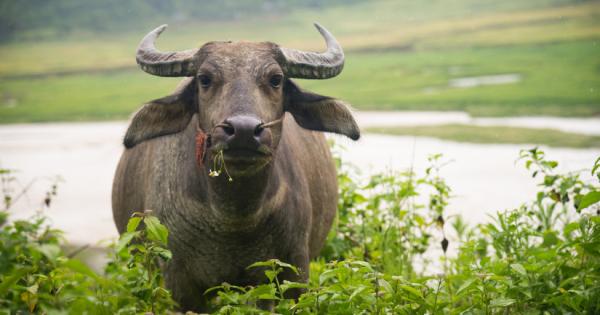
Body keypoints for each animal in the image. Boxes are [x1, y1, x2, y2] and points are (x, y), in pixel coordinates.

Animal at [110, 23, 358, 312]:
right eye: (205, 79)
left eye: (276, 79)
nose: (243, 131)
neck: (232, 219)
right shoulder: (179, 282)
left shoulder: (292, 270)